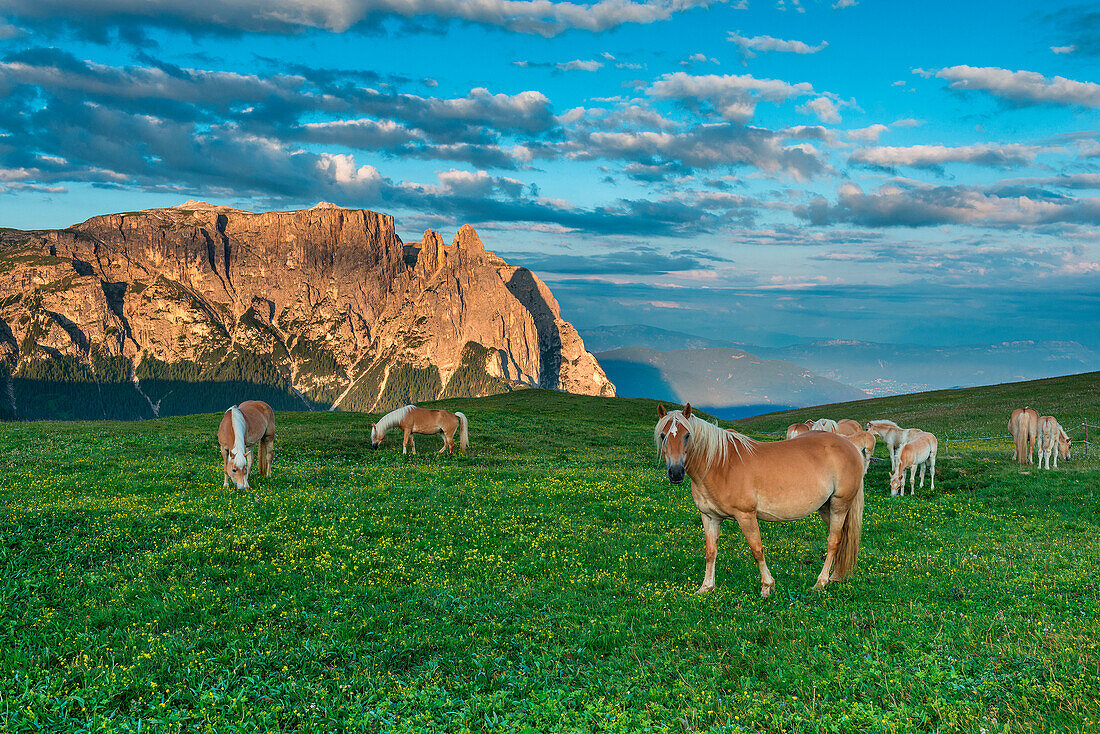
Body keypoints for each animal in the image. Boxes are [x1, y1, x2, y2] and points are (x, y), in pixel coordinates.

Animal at [655, 404, 862, 598]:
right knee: (840, 539)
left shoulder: (746, 516)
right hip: (826, 508)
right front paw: (706, 587)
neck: (719, 464)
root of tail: (851, 446)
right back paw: (836, 576)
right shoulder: (710, 517)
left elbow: (757, 550)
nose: (676, 473)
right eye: (663, 435)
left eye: (687, 435)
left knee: (833, 541)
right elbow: (710, 552)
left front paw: (767, 586)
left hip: (839, 505)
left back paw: (821, 582)